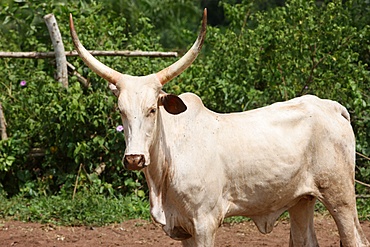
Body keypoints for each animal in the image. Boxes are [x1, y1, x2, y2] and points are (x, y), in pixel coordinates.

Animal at [68, 9, 368, 247]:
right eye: (121, 110)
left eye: (152, 109)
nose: (134, 158)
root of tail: (331, 106)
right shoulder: (184, 229)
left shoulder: (205, 223)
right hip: (301, 200)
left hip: (340, 196)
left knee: (355, 239)